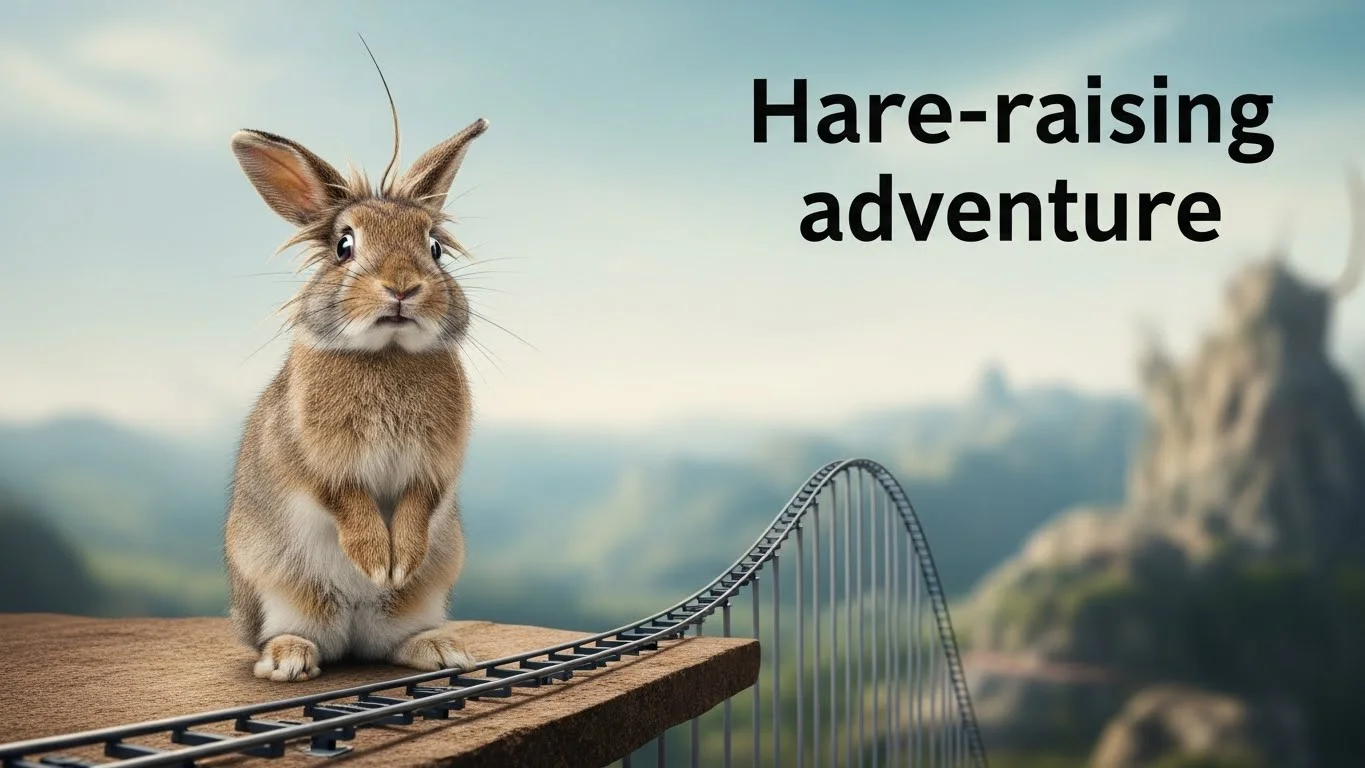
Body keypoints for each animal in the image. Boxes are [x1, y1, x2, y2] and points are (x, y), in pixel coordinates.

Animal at [224, 106, 489, 682]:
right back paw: (288, 660)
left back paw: (442, 649)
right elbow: (343, 497)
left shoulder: (435, 467)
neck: (386, 353)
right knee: (289, 636)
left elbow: (420, 500)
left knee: (393, 642)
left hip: (417, 602)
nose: (402, 286)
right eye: (344, 246)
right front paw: (374, 560)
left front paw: (399, 561)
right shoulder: (315, 459)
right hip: (278, 592)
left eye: (434, 246)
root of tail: (352, 631)